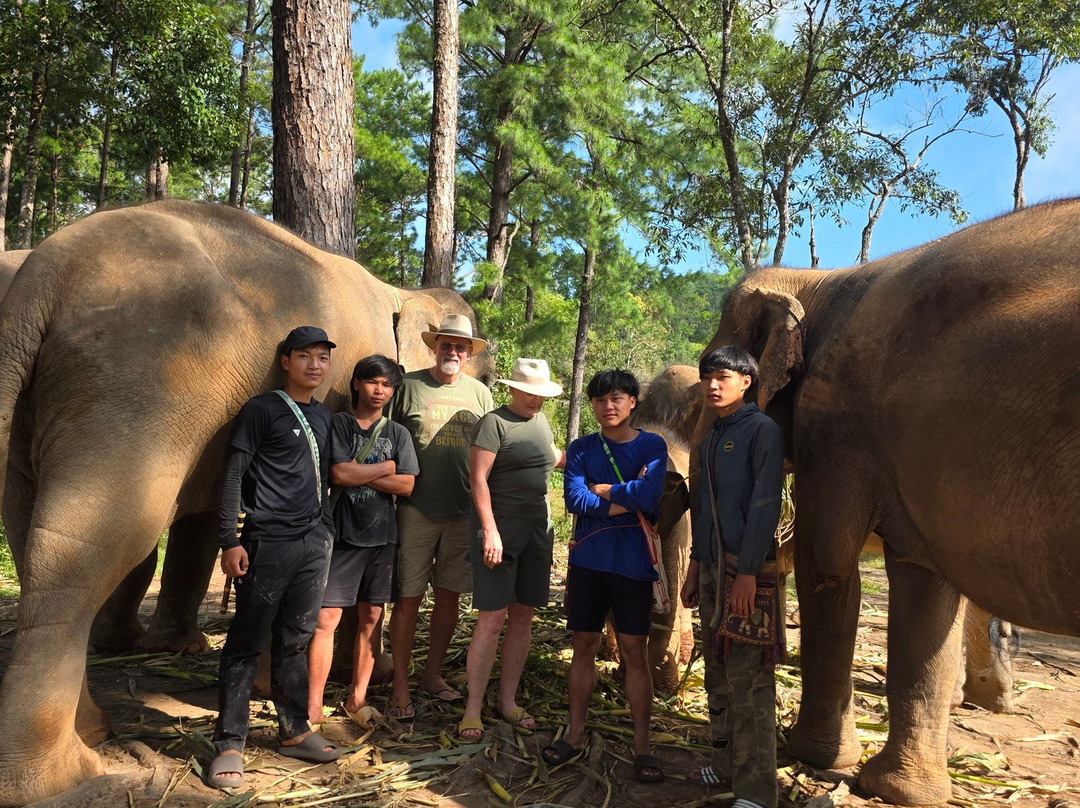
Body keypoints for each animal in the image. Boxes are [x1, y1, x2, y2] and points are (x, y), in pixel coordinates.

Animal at [0, 200, 494, 806]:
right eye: (483, 370)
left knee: (30, 533)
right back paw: (67, 773)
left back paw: (94, 728)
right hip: (135, 381)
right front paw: (351, 682)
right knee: (87, 543)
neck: (399, 291)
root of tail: (42, 280)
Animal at [697, 198, 1080, 805]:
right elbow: (924, 592)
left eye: (713, 360)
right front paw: (900, 791)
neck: (823, 281)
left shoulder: (835, 421)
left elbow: (827, 567)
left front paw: (812, 755)